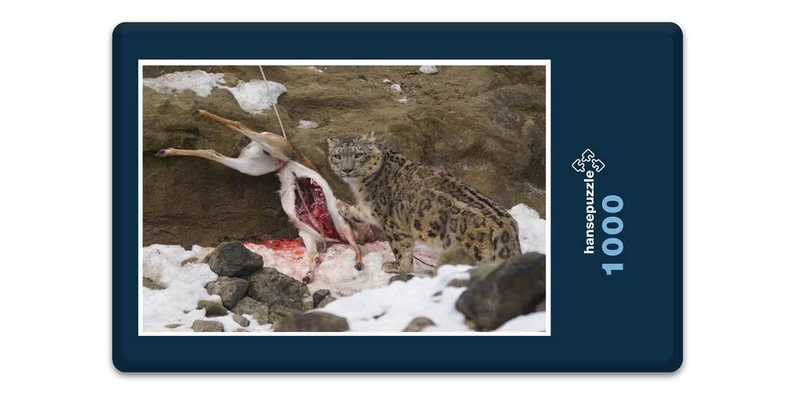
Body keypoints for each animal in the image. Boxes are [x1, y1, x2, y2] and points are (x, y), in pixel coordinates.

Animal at [327, 133, 521, 274]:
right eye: (337, 155)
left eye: (358, 154)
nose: (346, 169)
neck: (361, 185)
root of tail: (506, 228)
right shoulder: (370, 210)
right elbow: (359, 212)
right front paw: (340, 206)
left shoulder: (392, 223)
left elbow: (401, 248)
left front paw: (397, 267)